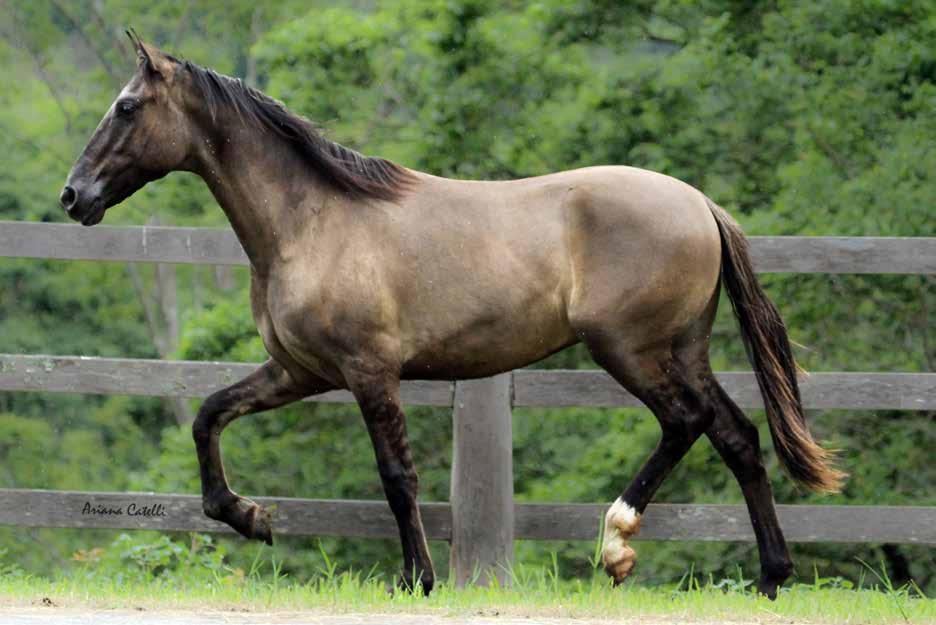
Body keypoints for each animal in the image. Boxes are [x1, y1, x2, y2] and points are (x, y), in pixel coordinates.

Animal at [62, 33, 844, 596]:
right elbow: (208, 415)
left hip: (628, 348)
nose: (74, 196)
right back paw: (771, 577)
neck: (312, 222)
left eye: (126, 107)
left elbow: (395, 476)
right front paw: (251, 517)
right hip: (681, 349)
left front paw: (418, 579)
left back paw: (617, 545)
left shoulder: (369, 372)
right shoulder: (298, 372)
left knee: (686, 423)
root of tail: (701, 204)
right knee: (736, 436)